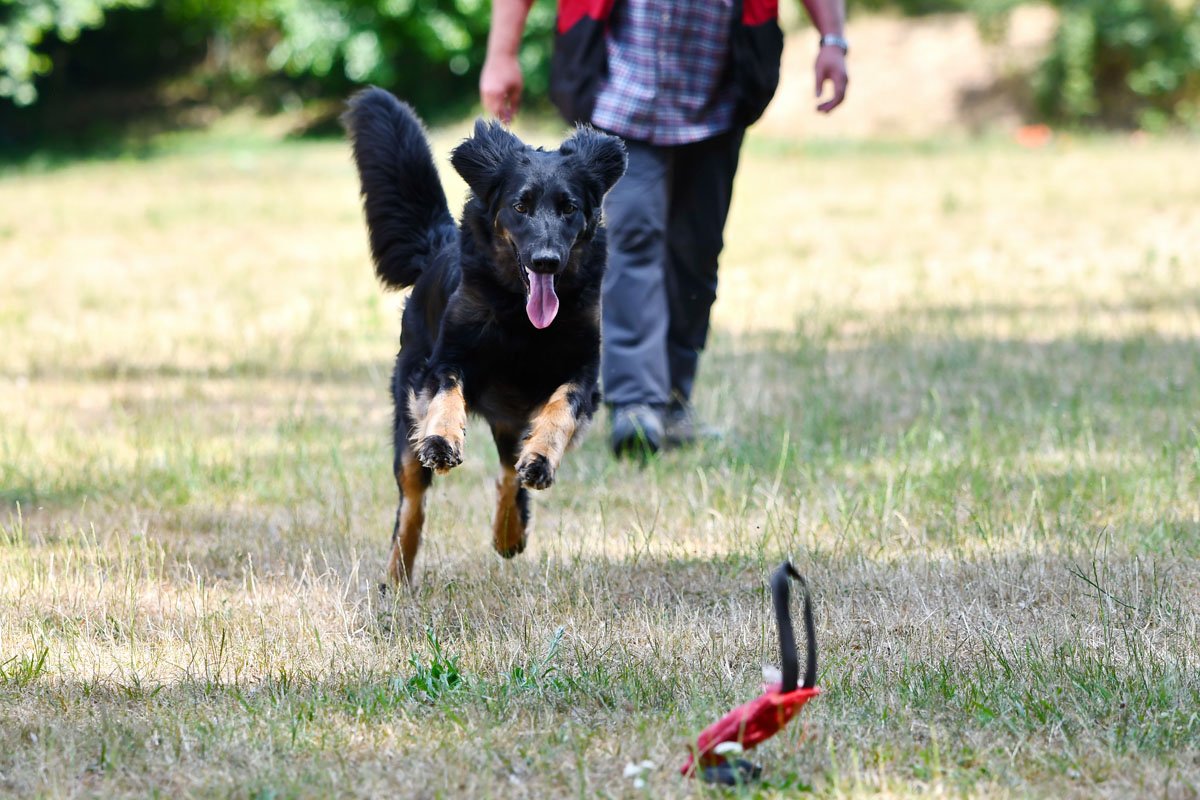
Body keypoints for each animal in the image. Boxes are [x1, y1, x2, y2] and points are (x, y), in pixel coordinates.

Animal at [340, 89, 628, 582]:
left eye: (569, 207)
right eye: (520, 206)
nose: (547, 261)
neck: (519, 316)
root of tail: (435, 246)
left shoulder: (583, 373)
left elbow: (559, 412)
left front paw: (542, 458)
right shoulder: (445, 360)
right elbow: (447, 397)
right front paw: (443, 440)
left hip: (511, 417)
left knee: (509, 472)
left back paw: (510, 529)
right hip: (408, 413)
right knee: (412, 502)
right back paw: (398, 574)